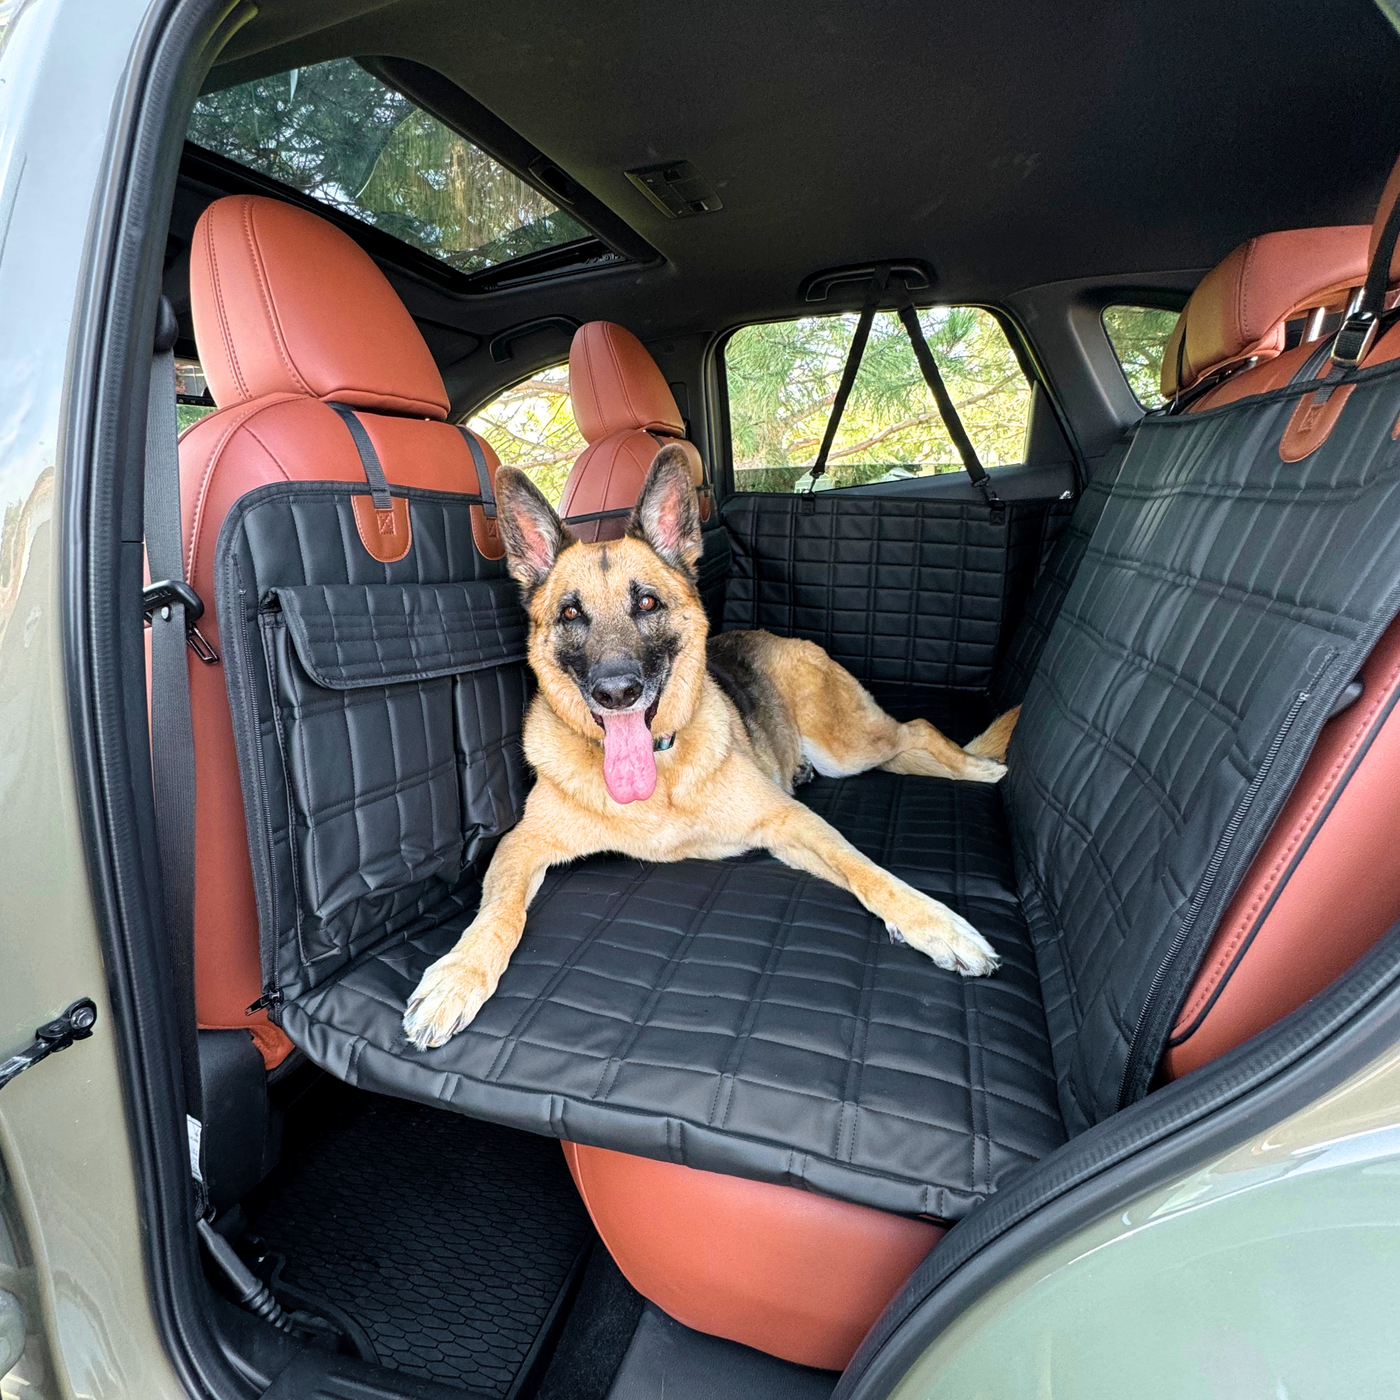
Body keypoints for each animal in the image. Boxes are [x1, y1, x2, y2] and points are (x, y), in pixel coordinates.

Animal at [403, 448, 1019, 1052]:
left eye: (647, 603)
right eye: (571, 614)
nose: (616, 692)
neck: (661, 774)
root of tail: (773, 636)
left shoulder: (789, 821)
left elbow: (866, 869)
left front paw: (935, 923)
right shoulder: (521, 845)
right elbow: (499, 912)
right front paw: (460, 974)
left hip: (848, 746)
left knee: (916, 729)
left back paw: (980, 769)